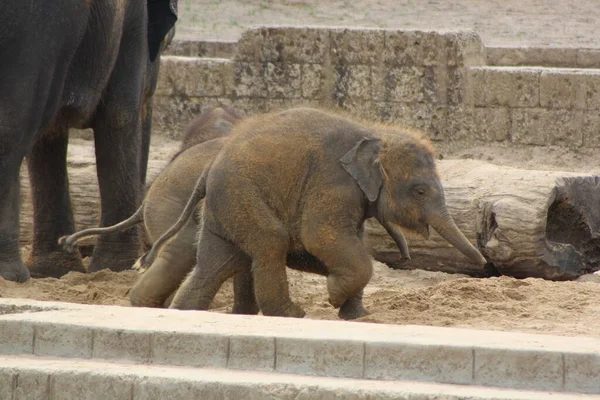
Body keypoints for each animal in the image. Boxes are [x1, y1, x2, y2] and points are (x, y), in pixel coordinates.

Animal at [145, 107, 488, 318]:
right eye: (419, 191)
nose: (485, 263)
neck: (375, 135)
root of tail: (209, 170)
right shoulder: (333, 182)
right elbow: (319, 236)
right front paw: (335, 295)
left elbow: (347, 245)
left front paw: (359, 316)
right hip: (242, 196)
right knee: (271, 242)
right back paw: (291, 314)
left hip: (224, 210)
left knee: (216, 262)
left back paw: (183, 312)